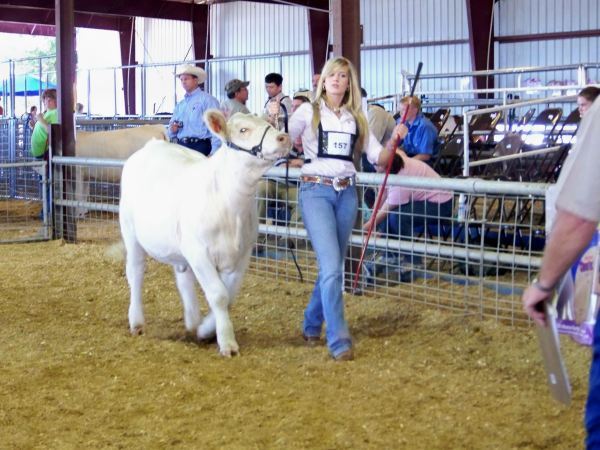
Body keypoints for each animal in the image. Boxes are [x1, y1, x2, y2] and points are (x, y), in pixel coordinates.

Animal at [119, 110, 290, 356]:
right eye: (243, 130)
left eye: (268, 123)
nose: (283, 137)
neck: (231, 209)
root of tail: (152, 145)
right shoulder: (198, 252)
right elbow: (219, 295)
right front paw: (227, 342)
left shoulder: (242, 254)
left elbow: (228, 297)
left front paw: (206, 330)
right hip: (130, 232)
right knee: (135, 273)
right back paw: (137, 322)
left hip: (179, 247)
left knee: (184, 281)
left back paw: (192, 323)